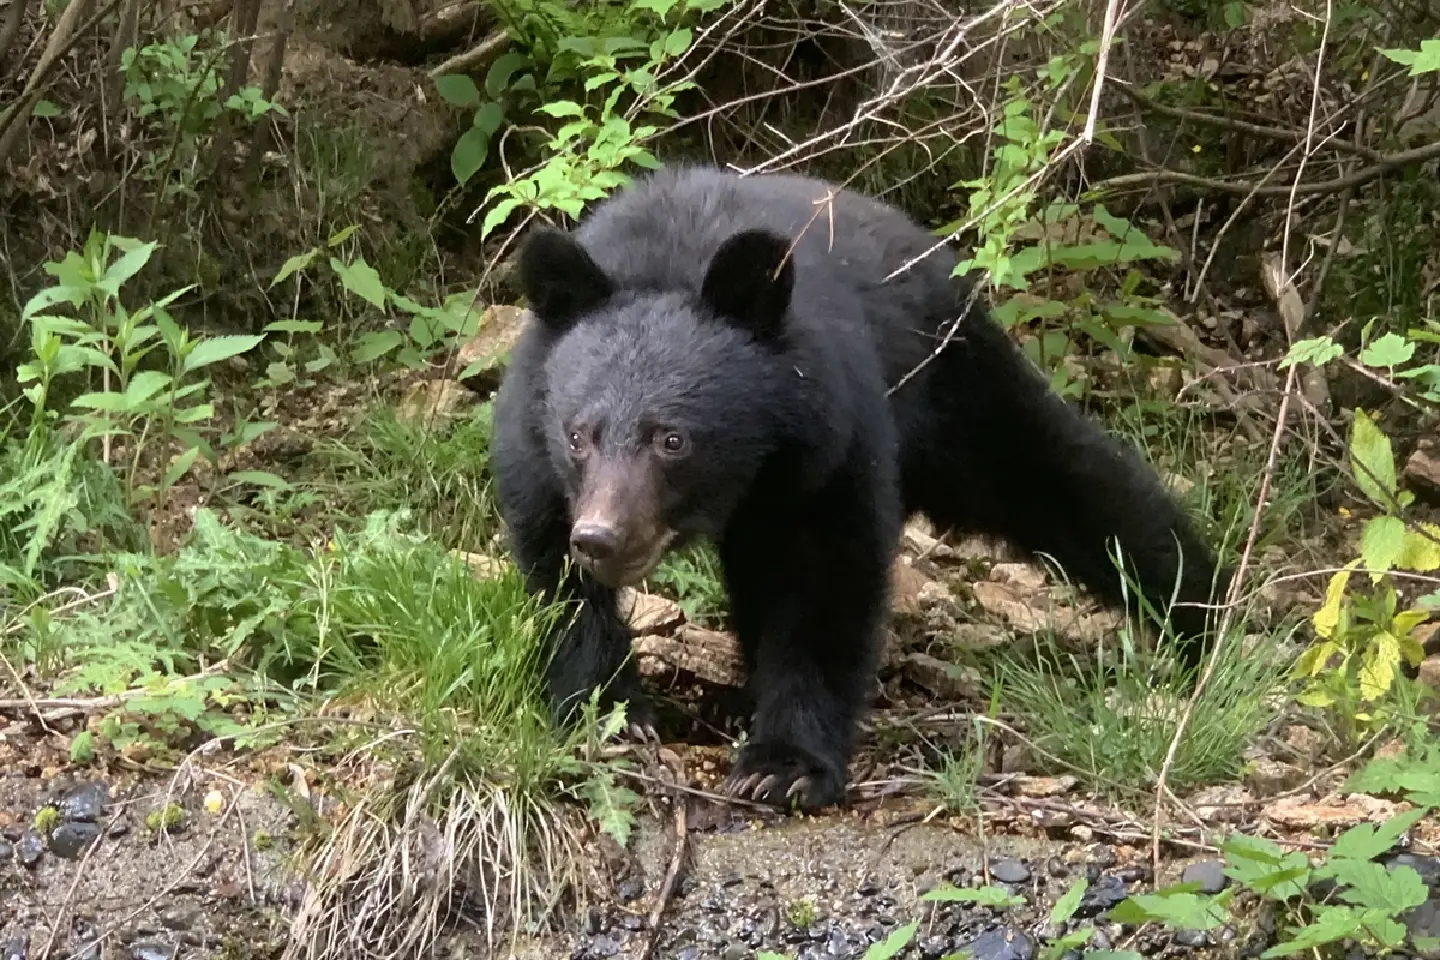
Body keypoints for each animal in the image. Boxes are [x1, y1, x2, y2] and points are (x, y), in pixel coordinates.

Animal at [489, 164, 1229, 812]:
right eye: (578, 434)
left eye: (672, 439)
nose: (603, 538)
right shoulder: (538, 461)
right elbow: (562, 589)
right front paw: (610, 713)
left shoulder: (829, 442)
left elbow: (824, 585)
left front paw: (785, 766)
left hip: (949, 378)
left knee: (1061, 478)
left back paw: (1204, 613)